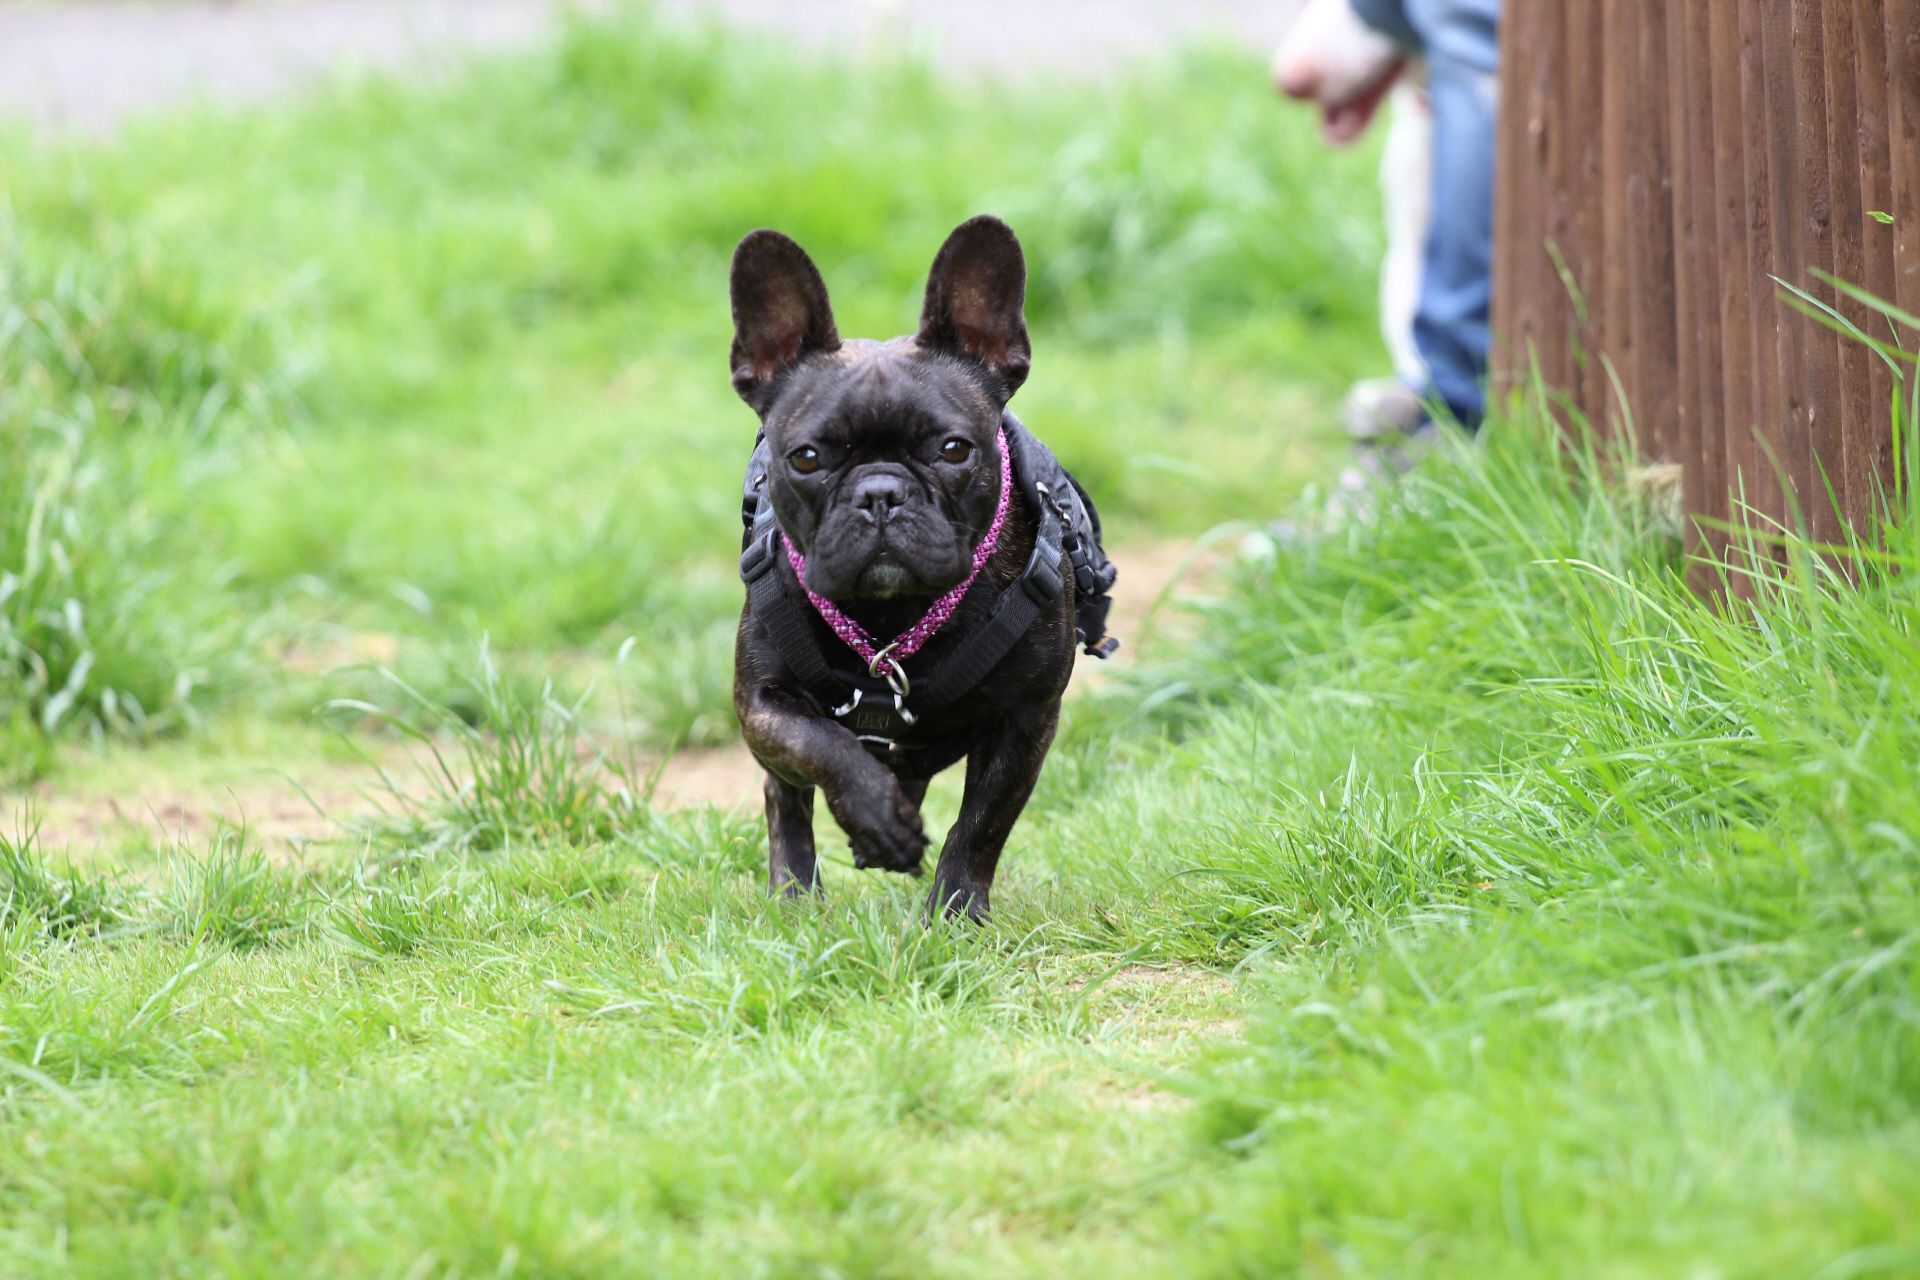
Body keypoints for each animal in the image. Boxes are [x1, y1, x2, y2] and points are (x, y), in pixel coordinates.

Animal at [730, 216, 1115, 921]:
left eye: (954, 449)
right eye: (805, 458)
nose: (881, 492)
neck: (894, 618)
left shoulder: (1025, 721)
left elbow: (981, 824)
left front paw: (955, 914)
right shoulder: (761, 702)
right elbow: (820, 747)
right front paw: (876, 819)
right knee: (786, 799)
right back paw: (796, 895)